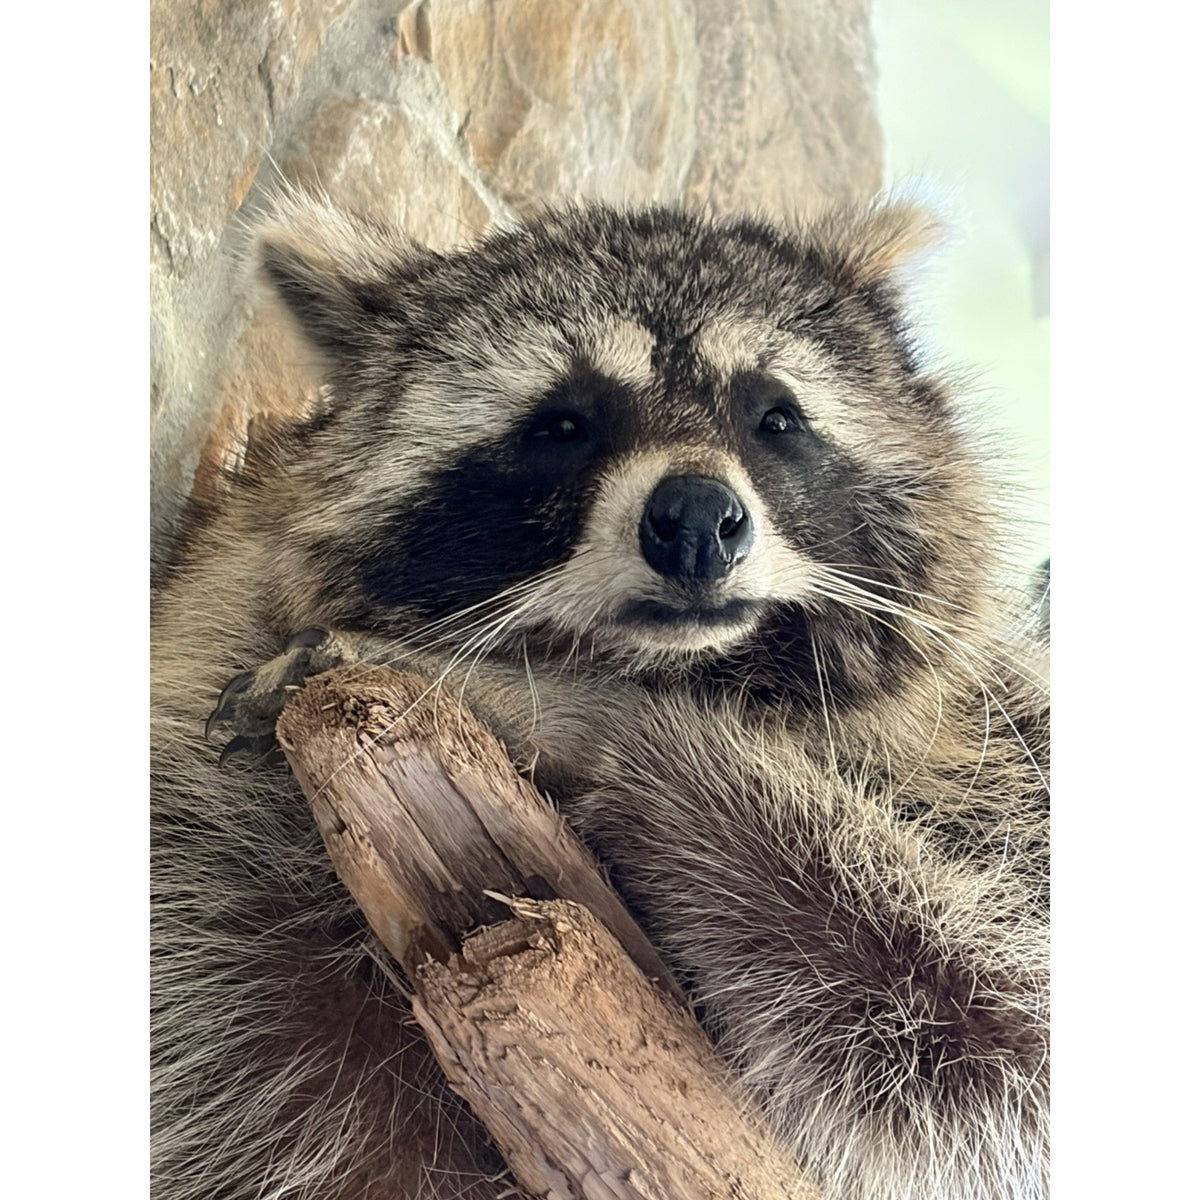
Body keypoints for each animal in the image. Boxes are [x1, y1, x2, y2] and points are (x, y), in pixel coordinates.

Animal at [151, 193, 1049, 1200]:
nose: (696, 518)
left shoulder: (999, 743)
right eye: (563, 425)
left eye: (775, 419)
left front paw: (557, 708)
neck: (681, 665)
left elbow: (977, 1023)